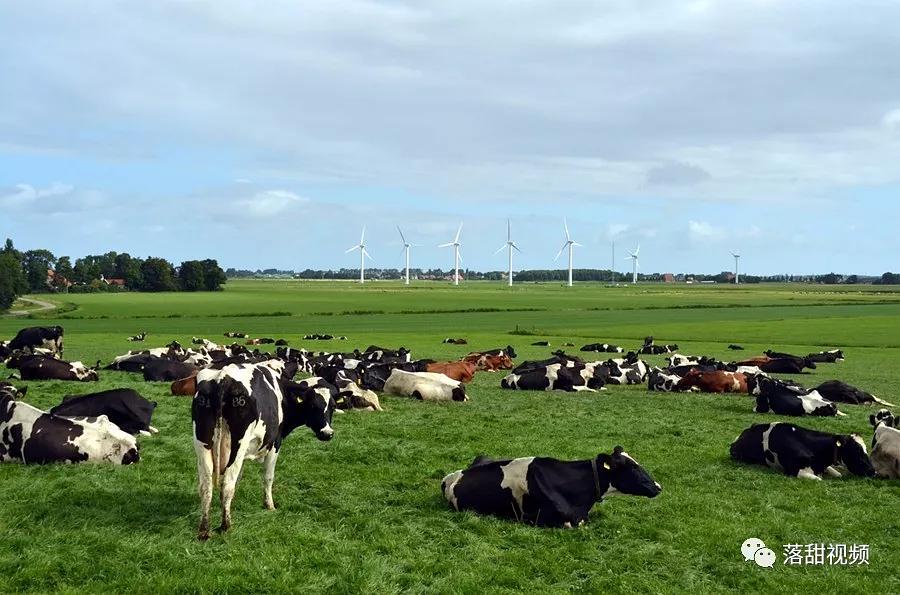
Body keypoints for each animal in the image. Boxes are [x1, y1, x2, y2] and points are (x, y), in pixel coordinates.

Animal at [192, 360, 336, 544]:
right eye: (313, 405)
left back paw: (204, 530)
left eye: (332, 407)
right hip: (236, 446)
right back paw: (226, 526)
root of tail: (223, 377)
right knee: (227, 485)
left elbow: (239, 478)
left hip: (202, 445)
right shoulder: (275, 444)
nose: (327, 433)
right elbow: (268, 477)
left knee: (206, 487)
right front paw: (269, 505)